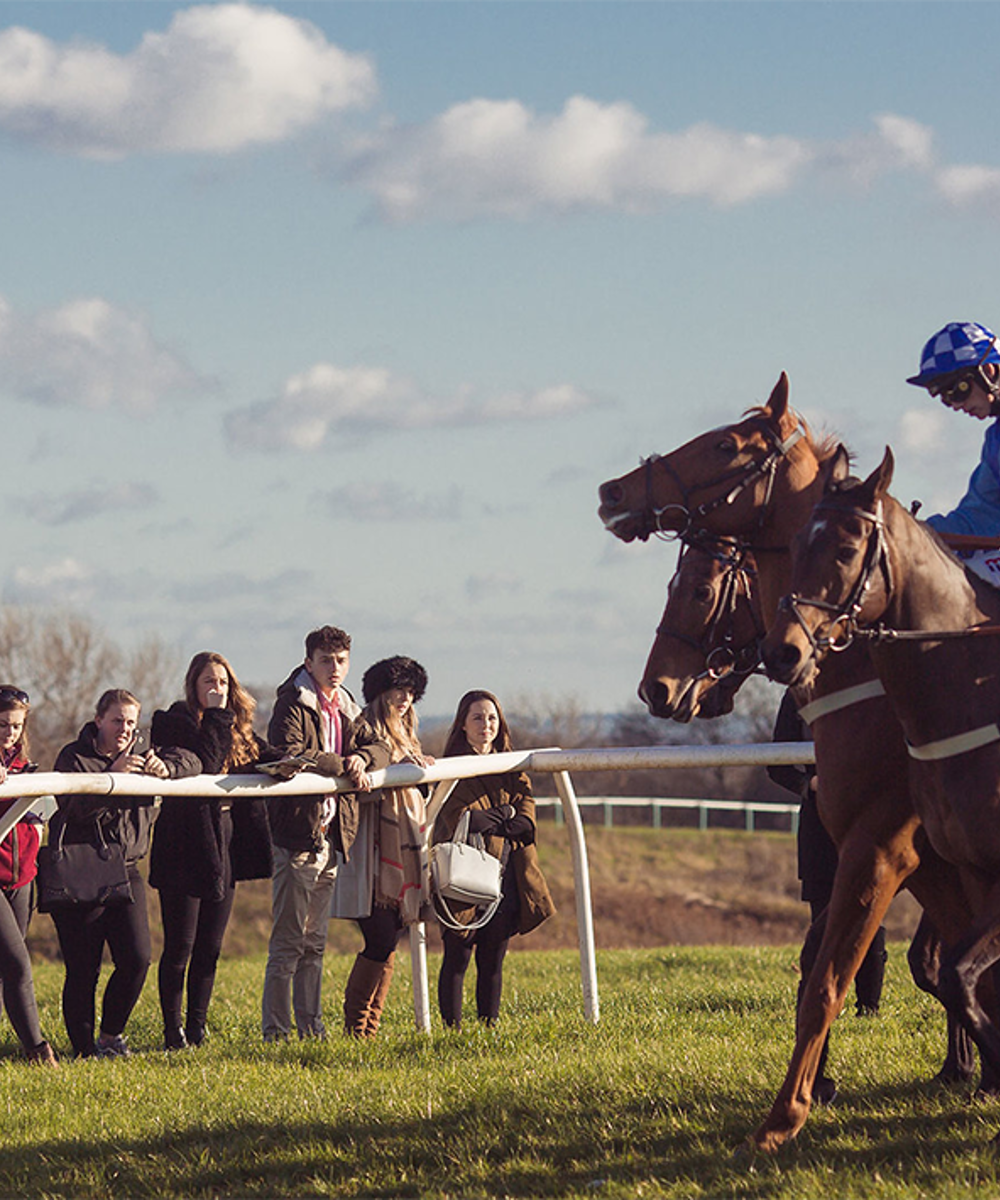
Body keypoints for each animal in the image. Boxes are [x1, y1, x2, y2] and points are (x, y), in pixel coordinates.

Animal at [600, 374, 974, 1152]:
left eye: (723, 444)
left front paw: (789, 1112)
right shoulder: (902, 851)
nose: (612, 491)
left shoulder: (884, 842)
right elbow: (899, 965)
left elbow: (841, 975)